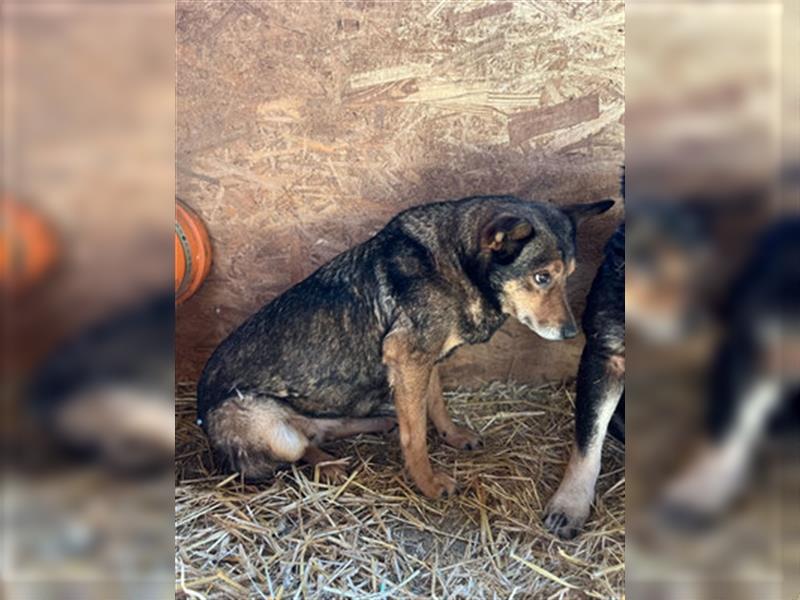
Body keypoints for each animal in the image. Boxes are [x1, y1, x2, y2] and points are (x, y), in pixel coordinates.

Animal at [198, 195, 612, 500]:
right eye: (541, 277)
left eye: (569, 276)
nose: (572, 333)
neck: (456, 263)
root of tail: (202, 416)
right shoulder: (408, 358)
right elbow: (415, 436)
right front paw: (427, 483)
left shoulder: (427, 360)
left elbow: (436, 405)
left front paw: (453, 436)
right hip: (266, 425)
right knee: (302, 444)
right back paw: (329, 464)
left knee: (323, 429)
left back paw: (377, 424)